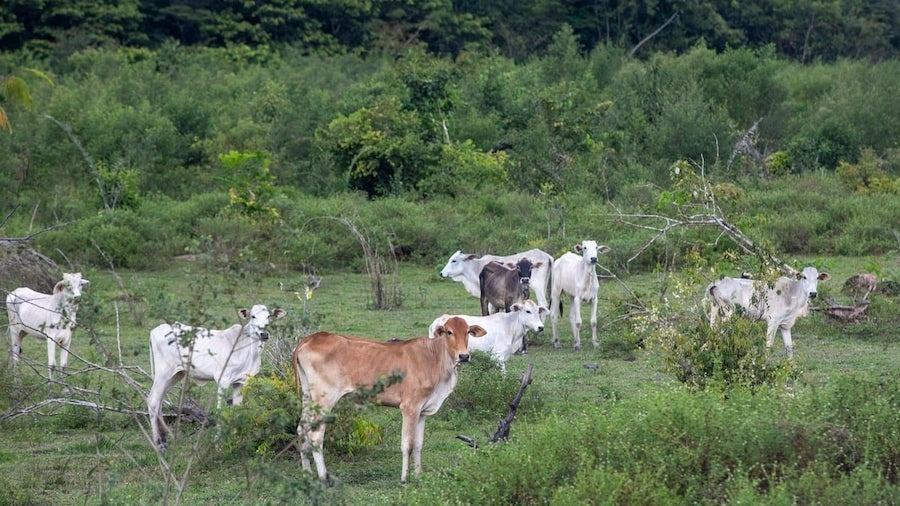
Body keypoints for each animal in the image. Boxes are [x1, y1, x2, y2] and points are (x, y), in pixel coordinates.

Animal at [292, 316, 486, 482]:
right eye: (449, 332)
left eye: (468, 332)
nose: (464, 356)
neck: (434, 359)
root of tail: (310, 338)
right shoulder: (409, 407)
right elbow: (407, 444)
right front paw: (404, 479)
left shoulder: (422, 411)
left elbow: (418, 444)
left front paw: (418, 476)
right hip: (324, 399)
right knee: (316, 434)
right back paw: (323, 477)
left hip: (308, 397)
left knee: (301, 429)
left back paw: (306, 474)